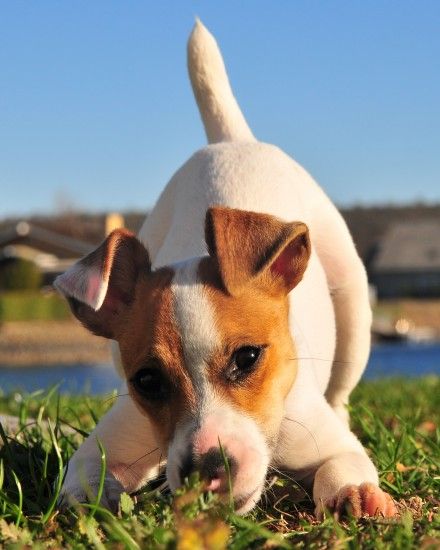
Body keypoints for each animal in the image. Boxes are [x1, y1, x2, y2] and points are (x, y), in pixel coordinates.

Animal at [54, 21, 396, 520]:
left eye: (248, 358)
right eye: (147, 381)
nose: (208, 470)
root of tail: (230, 140)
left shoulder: (328, 443)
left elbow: (341, 466)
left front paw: (353, 492)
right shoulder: (118, 431)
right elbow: (84, 480)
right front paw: (100, 500)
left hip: (353, 310)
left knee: (342, 389)